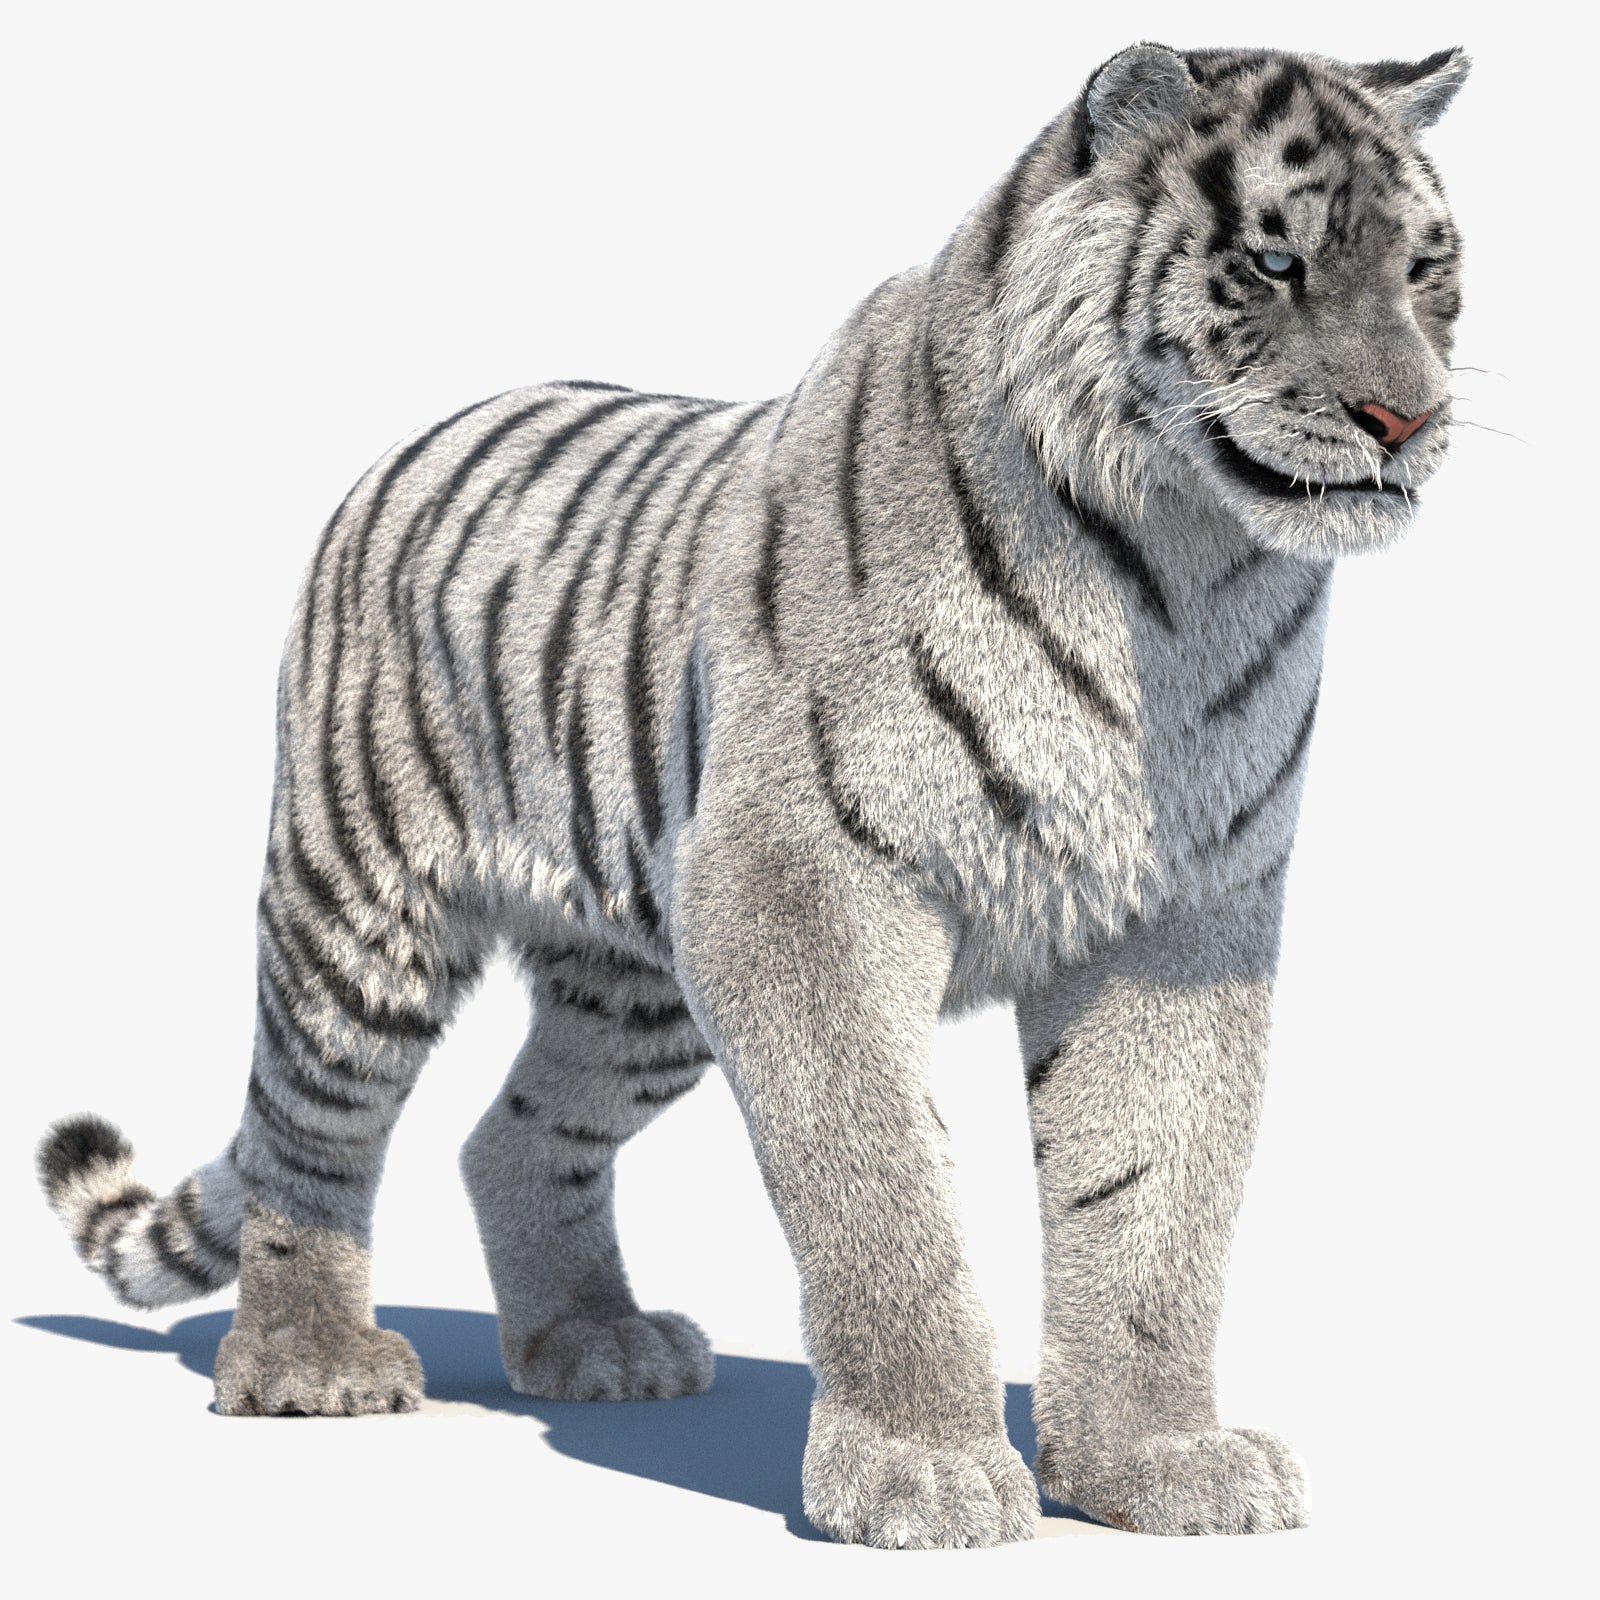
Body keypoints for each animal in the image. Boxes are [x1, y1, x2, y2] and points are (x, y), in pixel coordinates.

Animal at [38, 41, 1468, 1549]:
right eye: (1273, 261)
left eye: (1428, 268)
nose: (1410, 417)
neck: (1178, 561)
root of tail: (426, 434)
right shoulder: (802, 886)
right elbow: (881, 1185)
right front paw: (921, 1472)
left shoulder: (1185, 915)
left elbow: (1151, 1198)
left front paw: (1160, 1462)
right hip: (363, 909)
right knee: (309, 1136)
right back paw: (309, 1365)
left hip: (642, 984)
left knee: (512, 1137)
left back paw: (594, 1345)